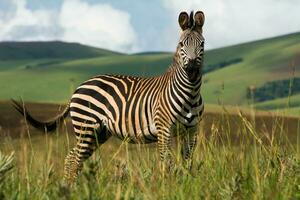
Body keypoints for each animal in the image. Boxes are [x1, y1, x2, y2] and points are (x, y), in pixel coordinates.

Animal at [13, 10, 206, 183]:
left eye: (202, 44)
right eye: (181, 44)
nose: (191, 67)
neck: (190, 93)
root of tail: (79, 86)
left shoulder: (192, 130)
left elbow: (187, 162)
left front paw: (187, 184)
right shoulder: (164, 128)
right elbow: (166, 162)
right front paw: (167, 186)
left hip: (99, 132)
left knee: (72, 157)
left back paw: (70, 187)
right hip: (86, 127)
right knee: (75, 159)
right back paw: (71, 188)